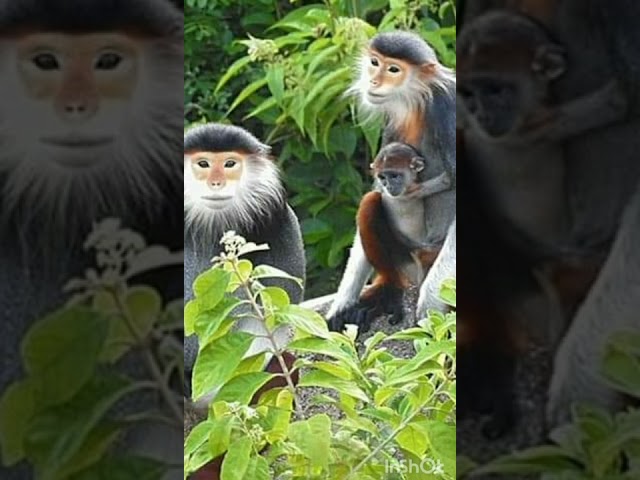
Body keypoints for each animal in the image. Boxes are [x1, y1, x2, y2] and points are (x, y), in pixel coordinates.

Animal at [327, 31, 456, 330]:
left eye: (394, 69)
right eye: (375, 62)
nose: (374, 80)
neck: (419, 100)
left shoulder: (448, 110)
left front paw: (430, 305)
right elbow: (378, 189)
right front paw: (343, 300)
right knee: (370, 201)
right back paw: (387, 290)